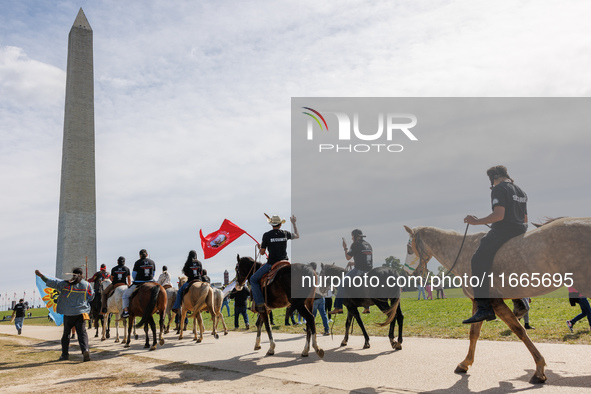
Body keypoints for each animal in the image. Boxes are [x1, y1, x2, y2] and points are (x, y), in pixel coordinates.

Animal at [404, 217, 591, 384]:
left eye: (408, 248)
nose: (409, 273)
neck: (464, 252)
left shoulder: (495, 302)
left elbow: (519, 331)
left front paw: (539, 369)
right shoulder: (479, 305)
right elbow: (474, 333)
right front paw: (465, 363)